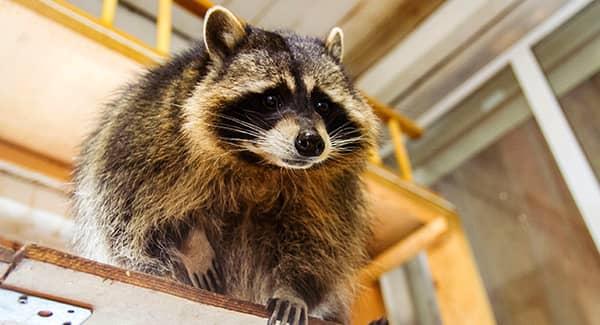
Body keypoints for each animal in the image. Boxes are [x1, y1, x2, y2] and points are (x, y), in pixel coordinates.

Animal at [72, 5, 378, 324]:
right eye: (271, 99)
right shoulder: (147, 134)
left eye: (322, 105)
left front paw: (293, 290)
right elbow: (139, 214)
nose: (311, 142)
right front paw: (191, 243)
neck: (261, 161)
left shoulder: (331, 192)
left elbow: (318, 245)